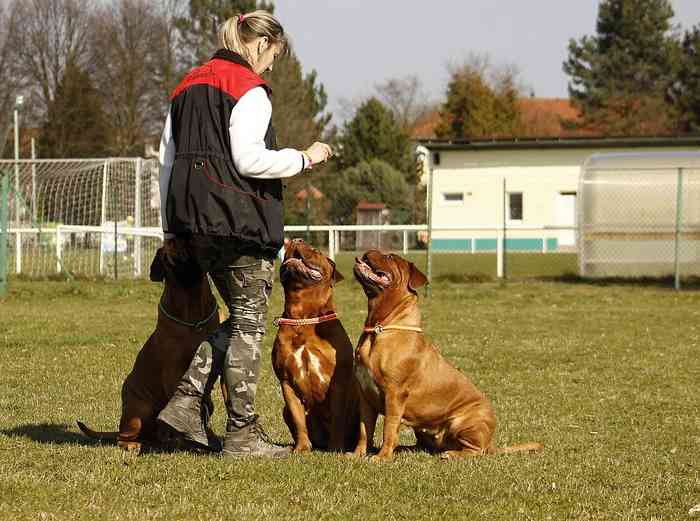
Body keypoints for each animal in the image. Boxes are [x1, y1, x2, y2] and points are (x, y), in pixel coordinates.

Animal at [272, 239, 358, 450]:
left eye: (316, 250)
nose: (296, 240)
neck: (303, 317)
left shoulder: (338, 383)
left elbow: (337, 418)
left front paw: (336, 449)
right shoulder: (286, 381)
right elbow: (298, 419)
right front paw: (302, 448)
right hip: (284, 410)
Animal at [350, 250, 540, 462]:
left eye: (390, 257)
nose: (369, 251)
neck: (379, 327)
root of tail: (491, 443)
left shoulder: (394, 393)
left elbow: (389, 428)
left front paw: (382, 456)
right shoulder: (365, 395)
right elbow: (364, 430)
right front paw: (357, 454)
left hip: (464, 421)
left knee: (475, 451)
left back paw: (452, 454)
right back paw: (406, 449)